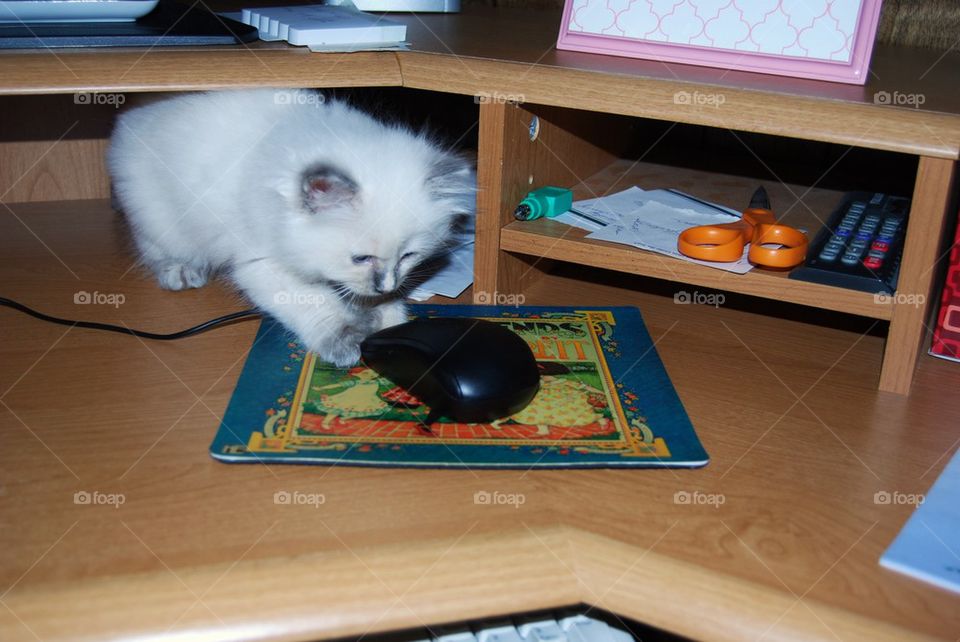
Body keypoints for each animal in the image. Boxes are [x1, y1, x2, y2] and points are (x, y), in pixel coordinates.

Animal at [107, 89, 474, 364]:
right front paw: (348, 340)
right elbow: (319, 306)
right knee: (153, 248)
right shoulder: (263, 264)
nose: (386, 284)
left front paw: (387, 321)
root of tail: (131, 118)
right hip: (161, 221)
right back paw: (181, 272)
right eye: (360, 259)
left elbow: (371, 303)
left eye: (408, 256)